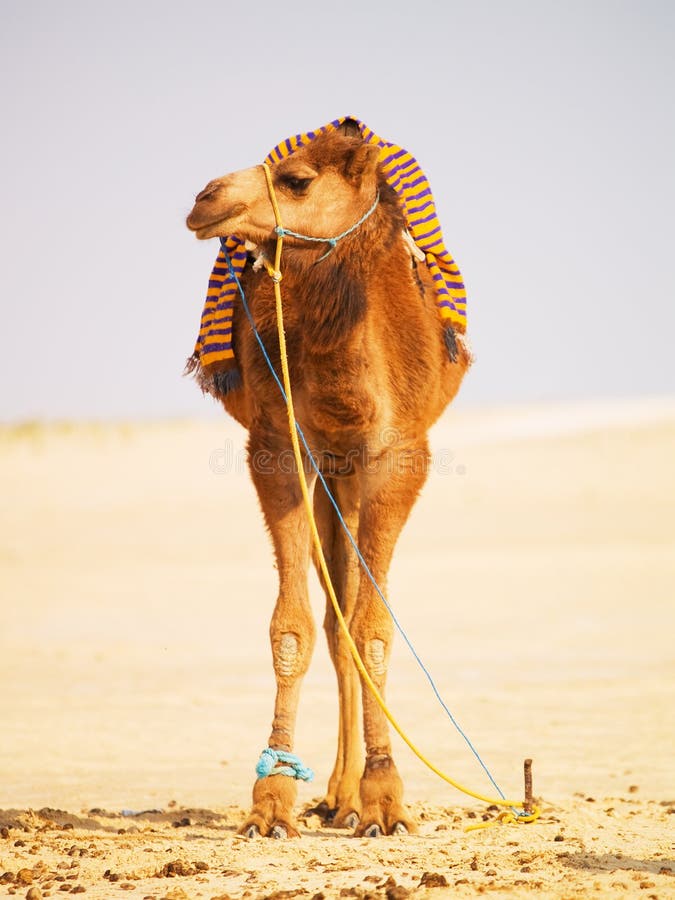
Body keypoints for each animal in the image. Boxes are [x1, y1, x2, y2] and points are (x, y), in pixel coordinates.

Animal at [185, 119, 470, 836]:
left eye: (296, 179)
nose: (204, 198)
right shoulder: (278, 448)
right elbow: (292, 627)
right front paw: (270, 802)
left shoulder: (399, 455)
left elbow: (374, 630)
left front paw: (387, 800)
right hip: (329, 474)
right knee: (333, 612)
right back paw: (337, 794)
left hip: (348, 475)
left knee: (349, 618)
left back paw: (351, 797)